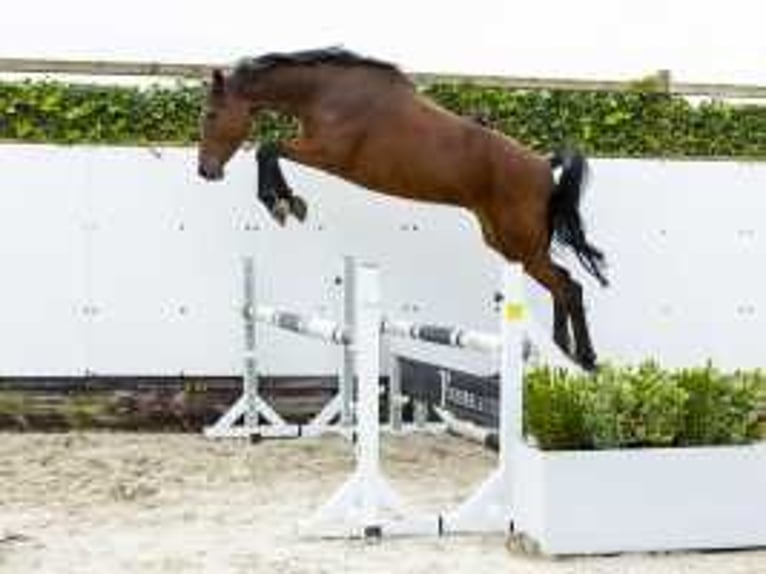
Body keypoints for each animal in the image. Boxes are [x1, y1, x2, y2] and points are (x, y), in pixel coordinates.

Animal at [198, 47, 612, 372]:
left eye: (211, 115)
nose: (205, 171)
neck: (326, 93)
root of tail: (543, 165)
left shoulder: (328, 154)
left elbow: (267, 148)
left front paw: (281, 203)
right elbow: (269, 150)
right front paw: (286, 201)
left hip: (522, 245)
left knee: (569, 287)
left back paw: (585, 359)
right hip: (507, 244)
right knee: (562, 284)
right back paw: (564, 352)